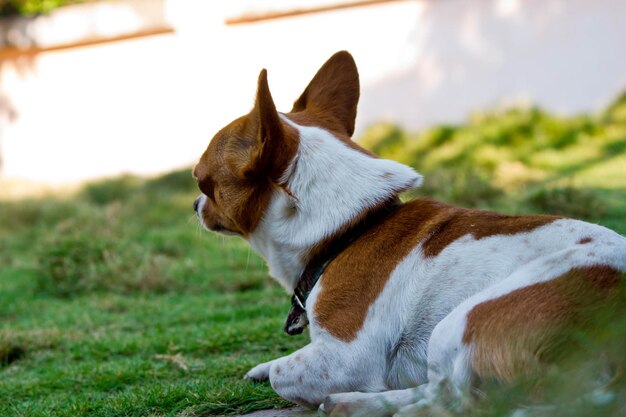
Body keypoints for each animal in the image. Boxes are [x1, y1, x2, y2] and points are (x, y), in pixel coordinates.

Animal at [193, 52, 624, 416]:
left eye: (202, 184)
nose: (194, 205)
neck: (350, 230)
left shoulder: (343, 358)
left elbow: (286, 373)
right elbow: (278, 366)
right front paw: (263, 366)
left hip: (459, 320)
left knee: (454, 400)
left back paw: (358, 403)